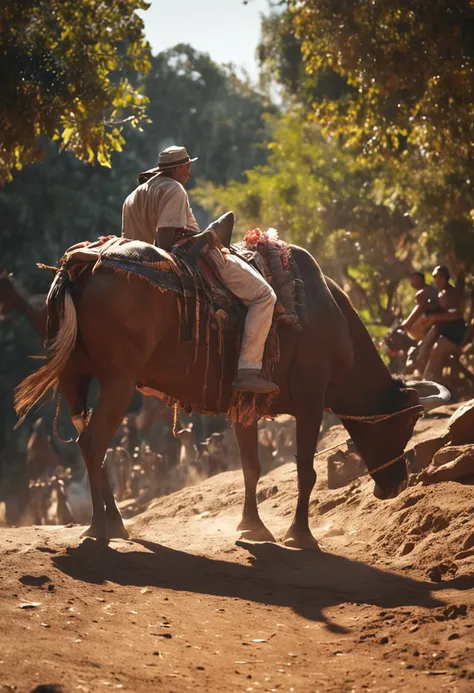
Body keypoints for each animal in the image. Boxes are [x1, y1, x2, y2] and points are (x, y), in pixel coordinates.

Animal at [12, 246, 446, 548]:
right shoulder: (311, 401)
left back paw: (116, 523)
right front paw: (300, 534)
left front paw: (253, 527)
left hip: (76, 380)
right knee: (93, 442)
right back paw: (100, 527)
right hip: (118, 381)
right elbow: (306, 470)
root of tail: (82, 265)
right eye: (408, 420)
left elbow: (251, 467)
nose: (397, 483)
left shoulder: (246, 406)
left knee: (94, 446)